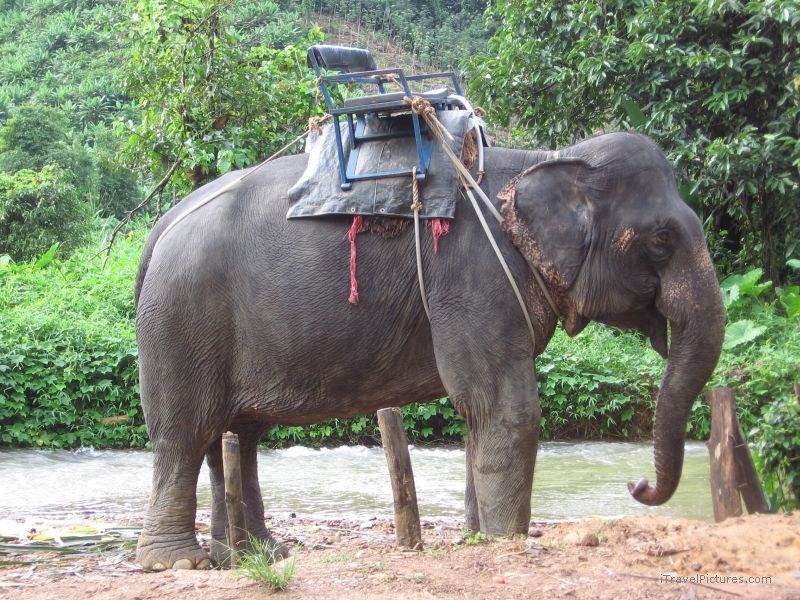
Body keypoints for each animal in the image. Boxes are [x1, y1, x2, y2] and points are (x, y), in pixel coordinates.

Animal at [133, 131, 725, 570]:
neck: (546, 159)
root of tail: (158, 228)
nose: (636, 483)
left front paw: (477, 537)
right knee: (185, 433)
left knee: (236, 436)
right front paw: (507, 542)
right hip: (182, 321)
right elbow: (505, 406)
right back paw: (177, 562)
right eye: (661, 241)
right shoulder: (474, 278)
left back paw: (258, 555)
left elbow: (479, 413)